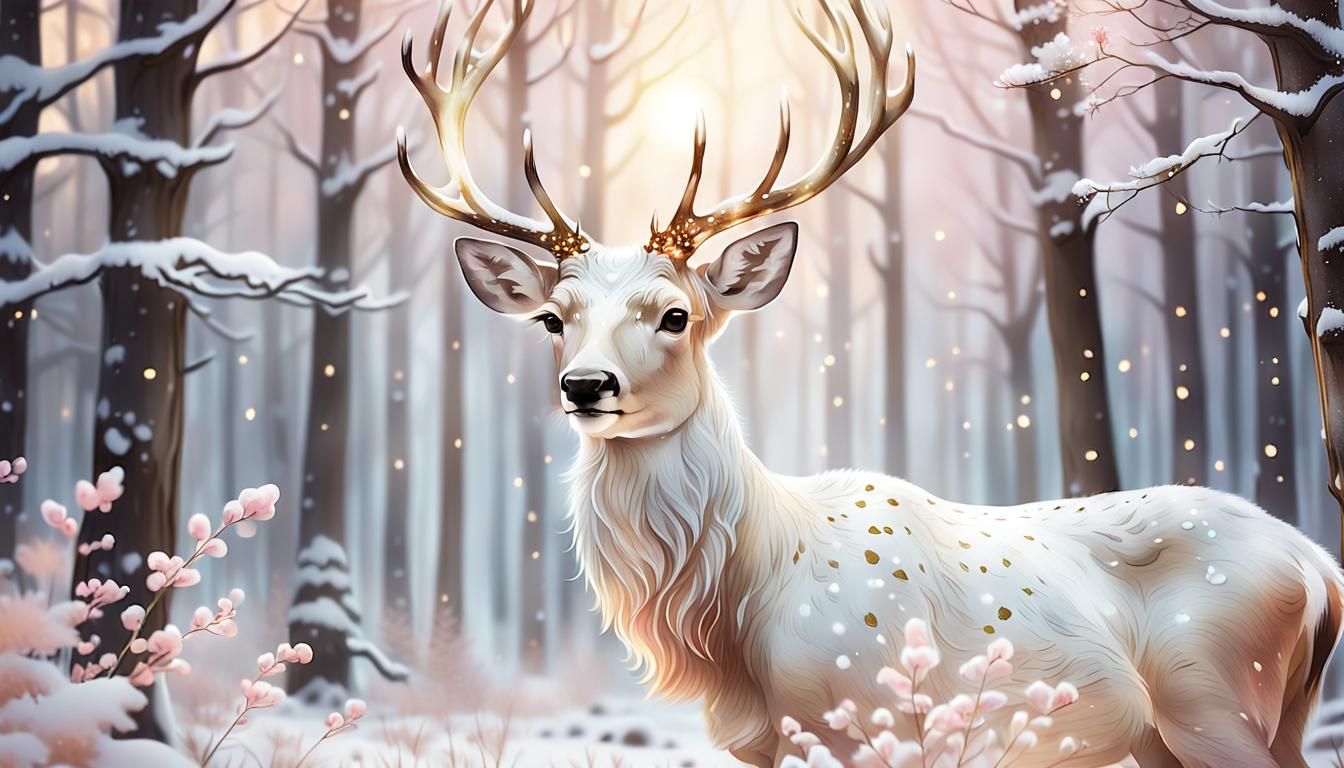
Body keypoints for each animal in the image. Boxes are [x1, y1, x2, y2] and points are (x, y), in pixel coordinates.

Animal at [397, 1, 1344, 765]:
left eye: (674, 315)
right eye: (552, 320)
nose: (585, 385)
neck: (735, 618)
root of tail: (1320, 568)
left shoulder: (871, 722)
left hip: (1214, 697)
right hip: (1194, 727)